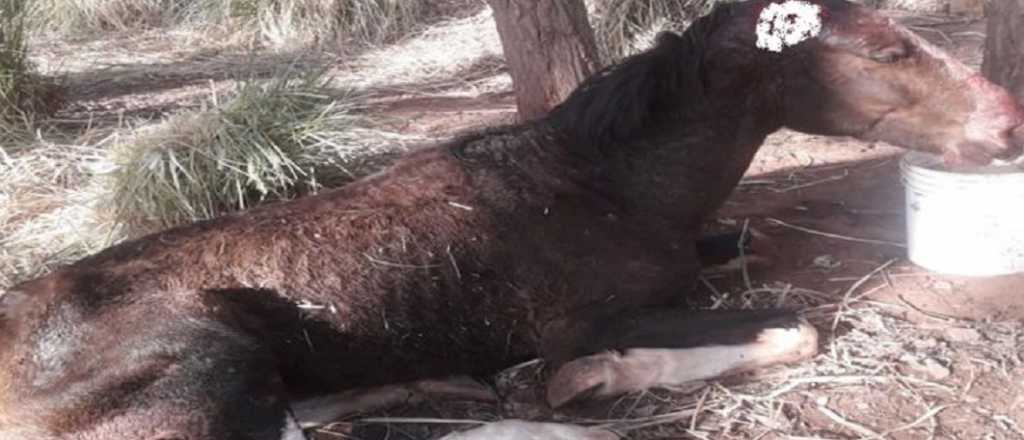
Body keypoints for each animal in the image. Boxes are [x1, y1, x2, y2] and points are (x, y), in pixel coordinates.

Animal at [2, 0, 1022, 438]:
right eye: (887, 50)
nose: (1007, 121)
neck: (607, 182)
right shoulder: (587, 315)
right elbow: (795, 328)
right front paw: (588, 379)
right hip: (207, 380)